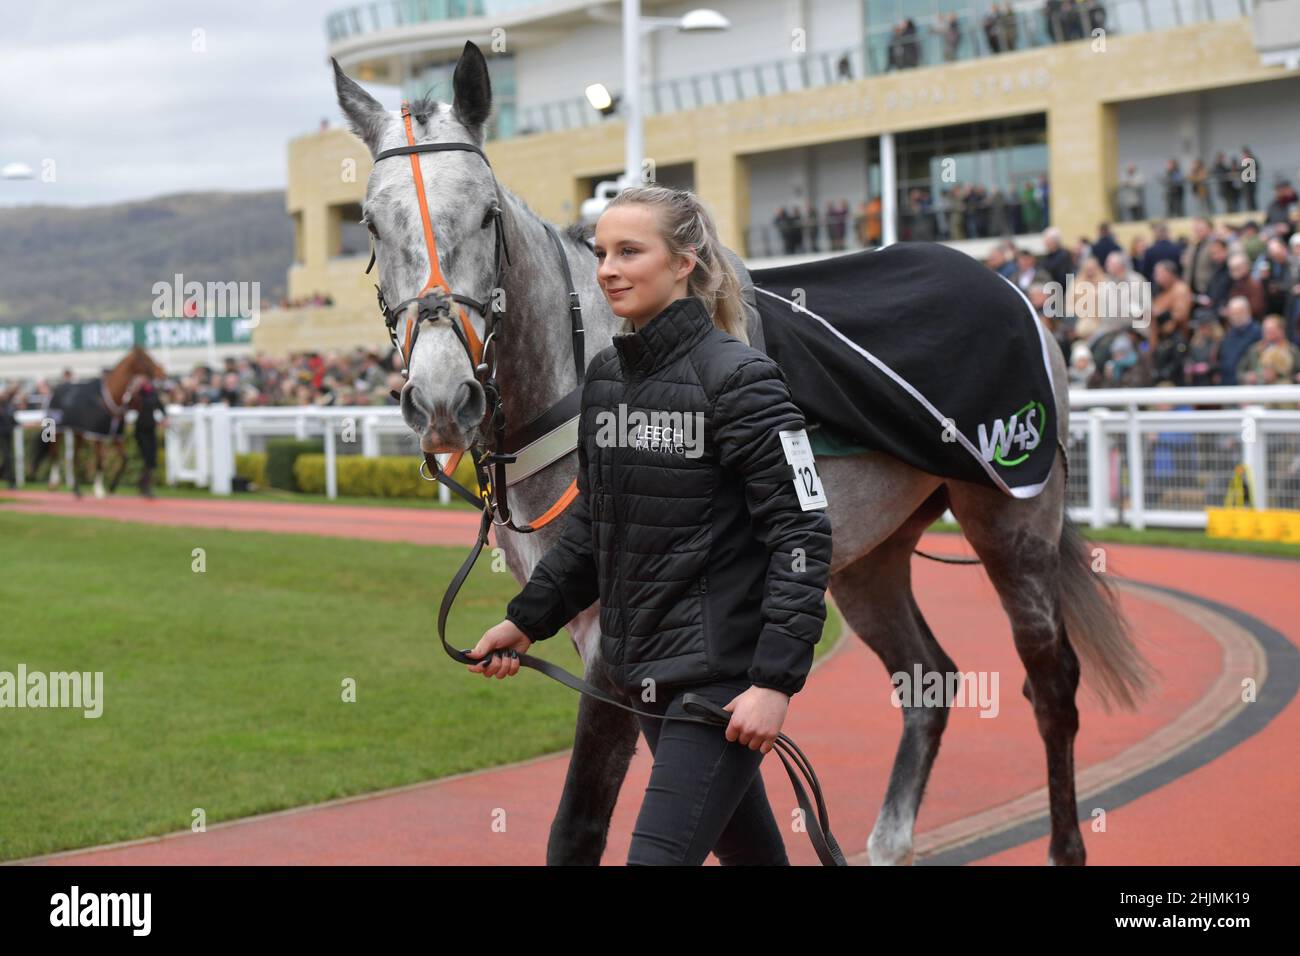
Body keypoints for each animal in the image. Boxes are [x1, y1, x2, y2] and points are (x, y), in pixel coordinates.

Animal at [332, 42, 1149, 868]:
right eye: (370, 224)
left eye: (488, 213)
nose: (442, 399)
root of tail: (1007, 289)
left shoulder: (615, 645)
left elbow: (582, 824)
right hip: (864, 556)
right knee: (929, 677)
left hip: (1013, 520)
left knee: (1053, 683)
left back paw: (1065, 843)